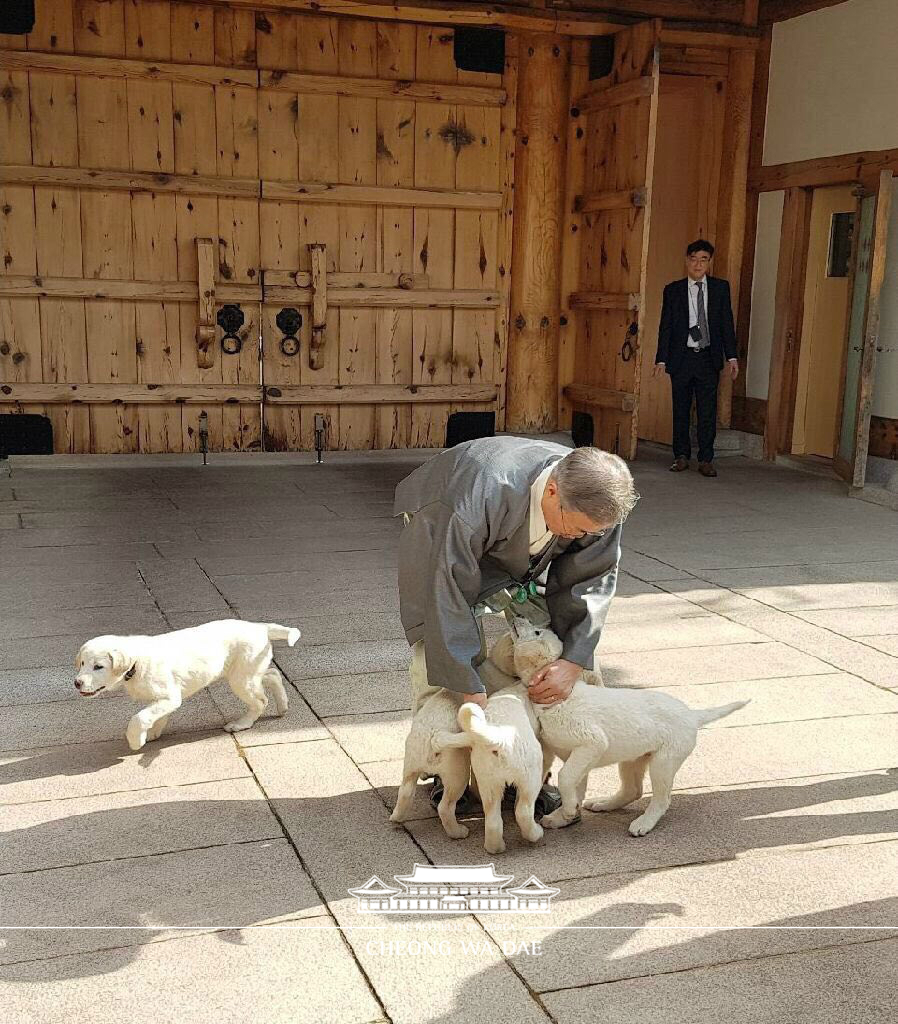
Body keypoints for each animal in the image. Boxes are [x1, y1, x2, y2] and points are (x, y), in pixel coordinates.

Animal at [75, 614, 298, 753]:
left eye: (98, 667)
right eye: (83, 663)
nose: (77, 683)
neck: (135, 663)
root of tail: (259, 627)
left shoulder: (170, 697)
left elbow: (139, 718)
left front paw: (136, 740)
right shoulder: (163, 699)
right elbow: (156, 716)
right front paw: (152, 733)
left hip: (241, 679)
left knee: (260, 701)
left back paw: (241, 724)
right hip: (247, 672)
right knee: (273, 674)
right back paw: (283, 706)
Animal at [507, 618, 745, 835]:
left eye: (537, 632)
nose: (518, 617)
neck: (562, 696)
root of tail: (692, 715)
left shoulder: (592, 743)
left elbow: (565, 777)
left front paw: (566, 811)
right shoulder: (579, 757)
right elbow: (575, 785)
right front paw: (564, 815)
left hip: (664, 762)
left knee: (662, 799)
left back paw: (644, 823)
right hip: (634, 758)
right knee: (633, 790)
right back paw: (604, 804)